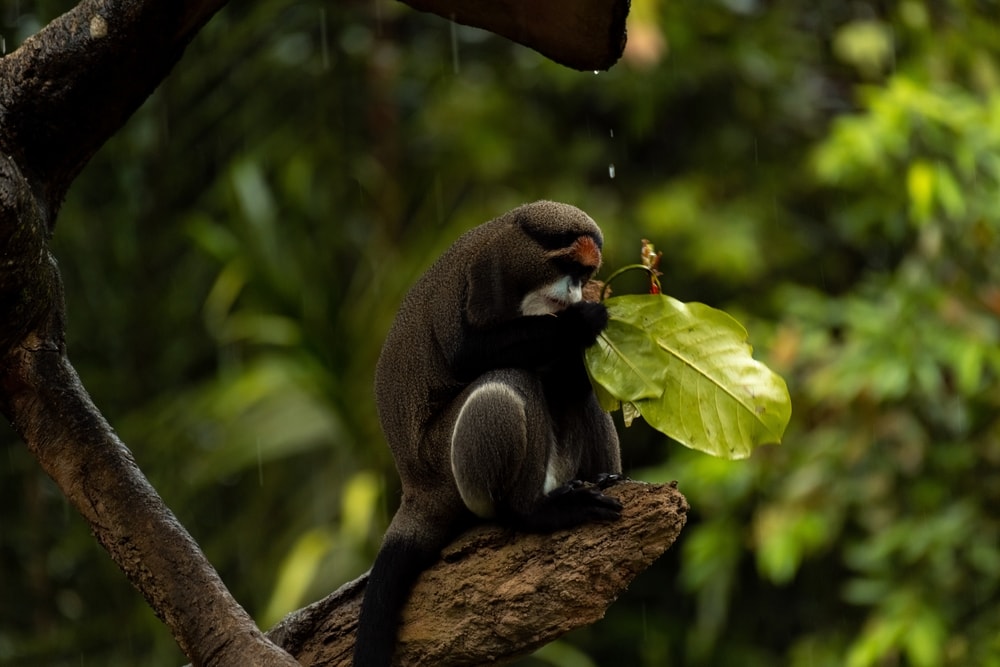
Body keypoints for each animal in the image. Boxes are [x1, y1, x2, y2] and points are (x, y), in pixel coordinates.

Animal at [353, 201, 623, 666]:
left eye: (585, 273)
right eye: (567, 266)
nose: (574, 292)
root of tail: (416, 490)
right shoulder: (487, 273)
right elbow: (467, 353)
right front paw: (582, 321)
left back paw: (605, 478)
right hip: (445, 464)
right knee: (509, 378)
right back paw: (535, 511)